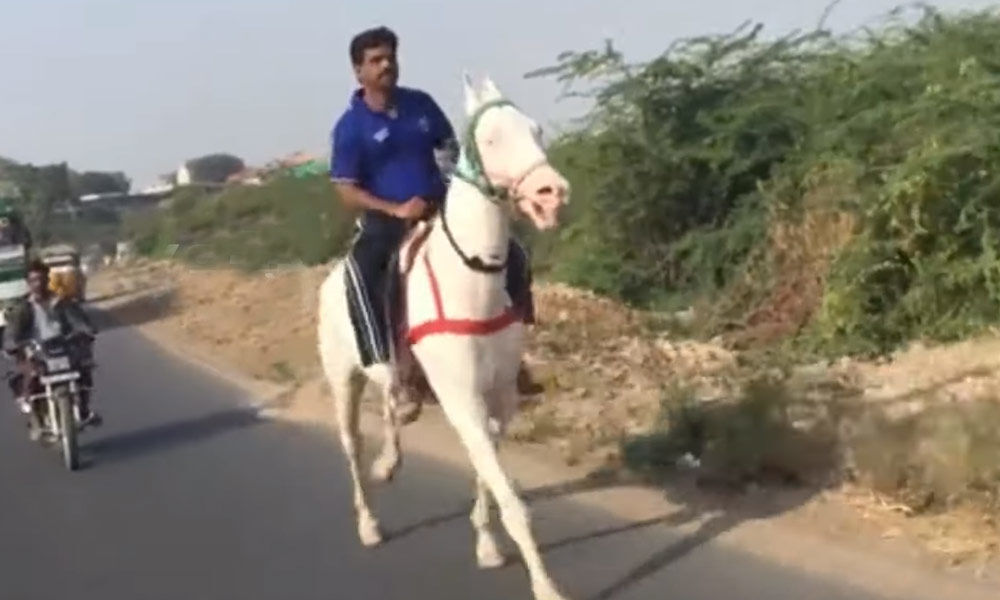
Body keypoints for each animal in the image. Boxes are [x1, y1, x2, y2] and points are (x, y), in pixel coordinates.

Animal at [320, 76, 572, 600]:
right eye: (492, 139)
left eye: (536, 129)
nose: (551, 194)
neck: (472, 281)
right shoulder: (461, 398)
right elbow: (513, 501)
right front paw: (546, 587)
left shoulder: (499, 396)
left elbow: (487, 468)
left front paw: (486, 543)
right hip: (342, 378)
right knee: (352, 443)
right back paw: (369, 523)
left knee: (394, 405)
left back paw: (388, 462)